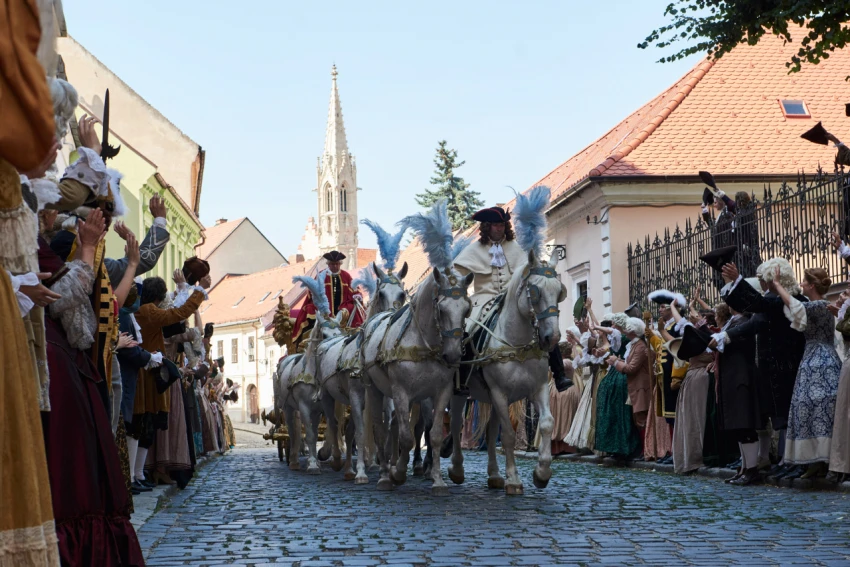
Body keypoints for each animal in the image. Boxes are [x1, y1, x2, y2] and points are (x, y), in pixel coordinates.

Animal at [278, 312, 344, 472]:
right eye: (324, 334)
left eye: (339, 332)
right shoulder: (304, 407)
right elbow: (308, 434)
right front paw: (313, 463)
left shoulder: (320, 408)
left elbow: (317, 432)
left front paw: (317, 460)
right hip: (288, 408)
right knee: (292, 431)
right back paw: (293, 460)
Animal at [320, 262, 410, 484]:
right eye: (381, 294)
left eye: (402, 293)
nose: (392, 316)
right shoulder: (357, 396)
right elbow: (361, 431)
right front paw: (361, 471)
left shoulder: (387, 396)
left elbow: (386, 427)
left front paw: (387, 465)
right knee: (338, 426)